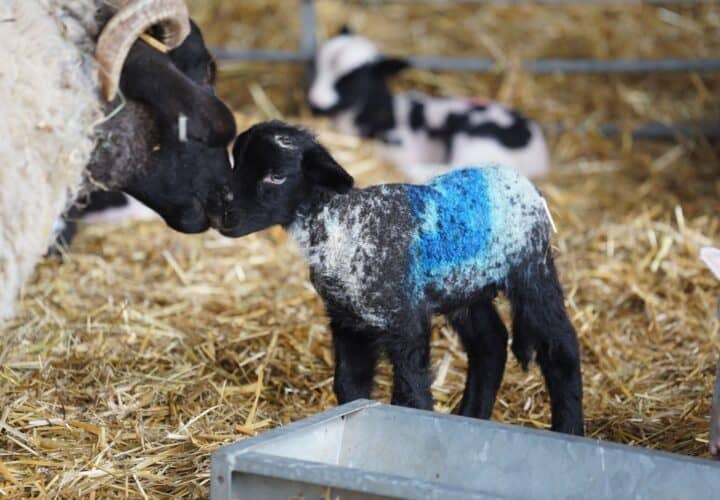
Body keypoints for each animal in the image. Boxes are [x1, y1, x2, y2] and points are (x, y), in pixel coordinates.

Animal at [207, 121, 584, 435]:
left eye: (276, 176)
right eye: (235, 163)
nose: (221, 213)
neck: (342, 224)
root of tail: (523, 182)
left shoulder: (405, 322)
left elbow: (410, 394)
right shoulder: (347, 321)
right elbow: (349, 385)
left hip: (532, 269)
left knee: (560, 345)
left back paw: (569, 430)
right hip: (465, 285)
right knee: (490, 343)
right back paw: (471, 416)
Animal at [308, 27, 550, 183]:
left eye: (350, 79)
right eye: (317, 68)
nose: (314, 101)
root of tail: (539, 157)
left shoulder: (397, 146)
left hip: (474, 139)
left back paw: (415, 171)